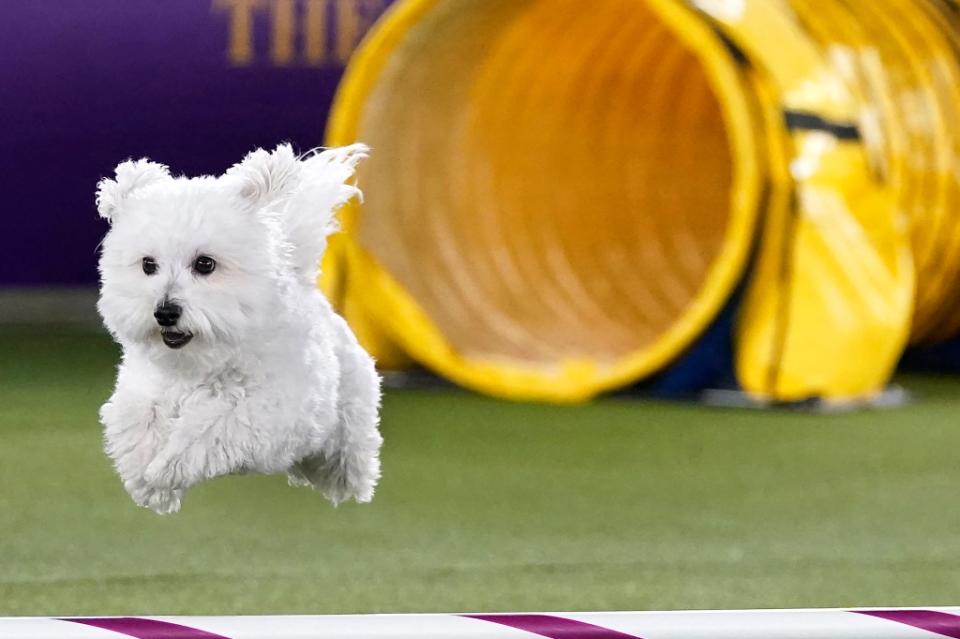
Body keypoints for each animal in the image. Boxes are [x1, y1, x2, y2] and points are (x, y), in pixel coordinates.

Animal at [94, 144, 382, 516]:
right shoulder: (141, 392)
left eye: (205, 264)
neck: (202, 361)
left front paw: (165, 470)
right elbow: (139, 424)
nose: (165, 312)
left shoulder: (266, 409)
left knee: (348, 455)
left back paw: (352, 483)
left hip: (349, 413)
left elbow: (210, 428)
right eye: (148, 265)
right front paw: (148, 482)